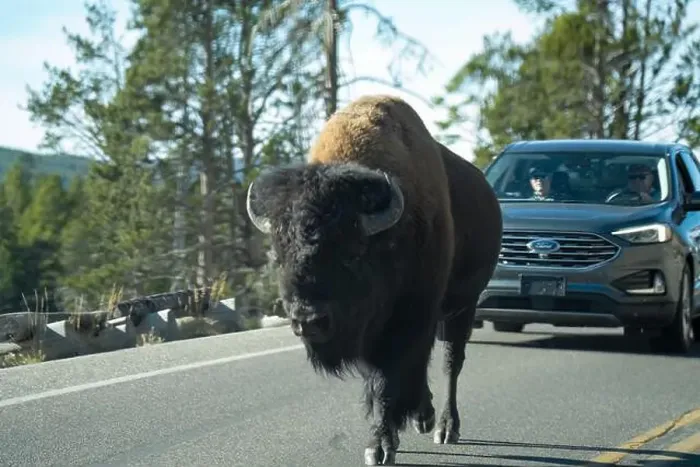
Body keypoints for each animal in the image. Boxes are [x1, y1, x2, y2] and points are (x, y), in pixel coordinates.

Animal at [246, 95, 502, 465]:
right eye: (280, 258)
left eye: (352, 254)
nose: (309, 321)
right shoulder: (372, 331)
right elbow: (383, 378)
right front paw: (387, 436)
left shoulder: (408, 319)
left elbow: (388, 381)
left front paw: (380, 446)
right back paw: (424, 417)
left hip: (463, 307)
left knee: (450, 363)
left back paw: (445, 428)